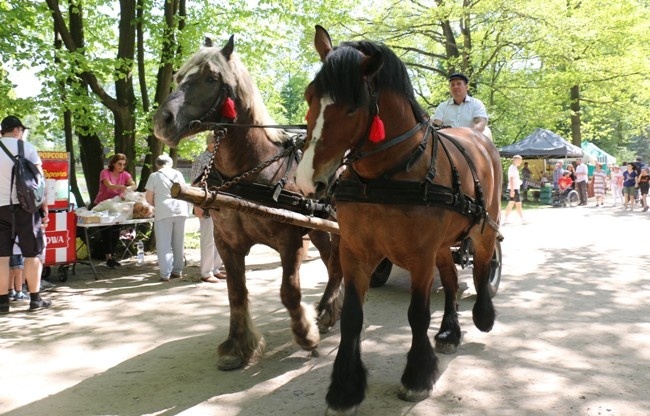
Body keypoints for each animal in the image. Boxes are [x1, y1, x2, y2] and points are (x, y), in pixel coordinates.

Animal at [153, 36, 344, 370]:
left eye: (211, 78)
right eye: (178, 77)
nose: (162, 120)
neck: (251, 170)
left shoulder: (291, 241)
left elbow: (288, 292)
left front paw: (305, 334)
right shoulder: (227, 242)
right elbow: (236, 293)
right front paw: (238, 347)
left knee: (338, 266)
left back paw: (323, 313)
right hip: (320, 228)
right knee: (334, 266)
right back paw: (329, 311)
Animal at [294, 25, 502, 412]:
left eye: (352, 106)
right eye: (310, 96)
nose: (306, 180)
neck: (386, 176)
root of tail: (478, 139)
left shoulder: (419, 257)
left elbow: (417, 314)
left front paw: (417, 376)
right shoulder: (355, 252)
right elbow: (352, 317)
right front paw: (345, 388)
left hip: (484, 225)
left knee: (483, 266)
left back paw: (483, 314)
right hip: (442, 244)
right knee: (451, 278)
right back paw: (449, 331)